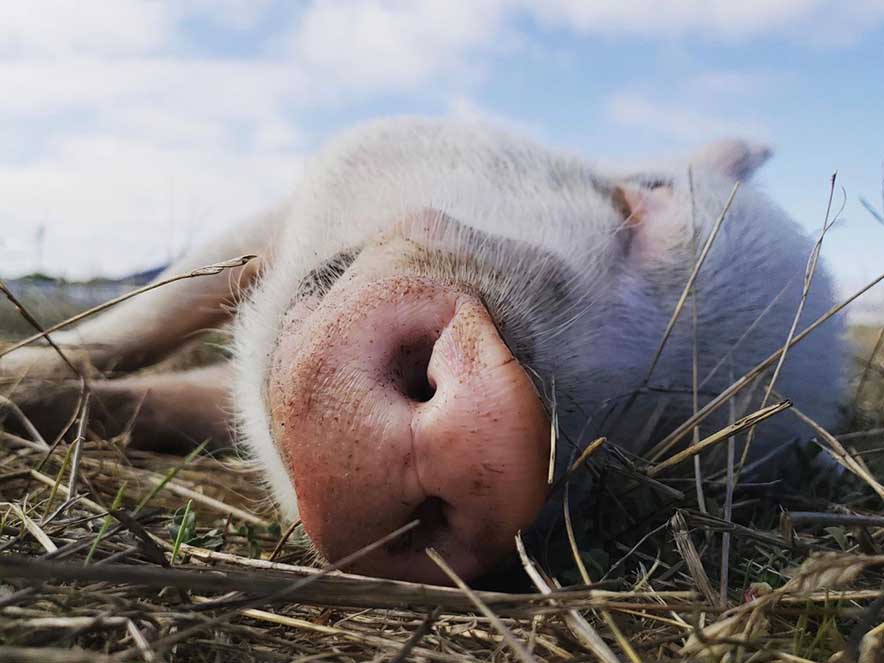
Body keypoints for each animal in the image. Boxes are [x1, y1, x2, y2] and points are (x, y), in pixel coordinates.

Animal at [0, 119, 844, 588]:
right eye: (638, 196)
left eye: (664, 446)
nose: (492, 418)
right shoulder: (280, 211)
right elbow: (155, 309)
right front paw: (18, 373)